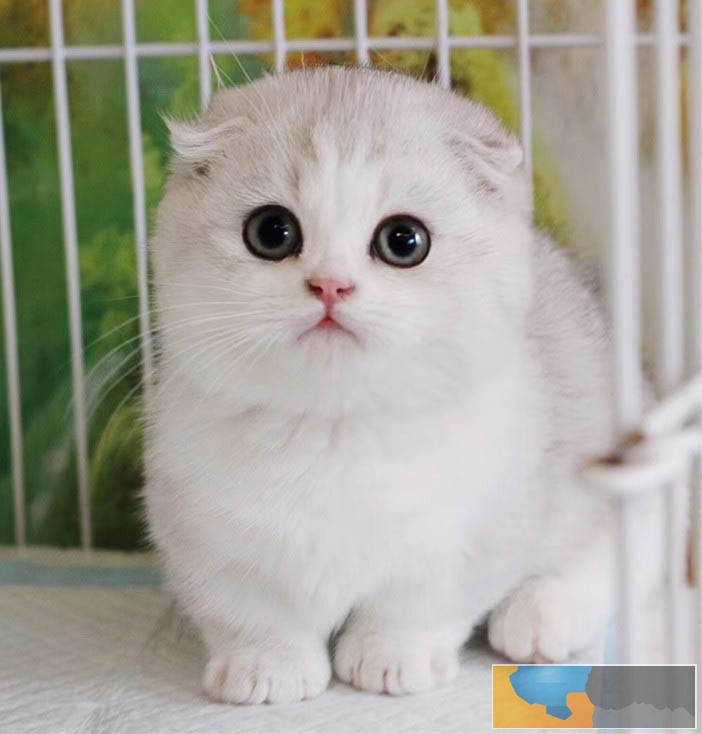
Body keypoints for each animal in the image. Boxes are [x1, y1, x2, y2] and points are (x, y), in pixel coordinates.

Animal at [145, 66, 660, 704]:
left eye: (404, 241)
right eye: (271, 232)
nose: (331, 286)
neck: (336, 433)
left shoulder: (468, 534)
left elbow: (414, 609)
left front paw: (391, 659)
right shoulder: (204, 533)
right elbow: (256, 613)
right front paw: (265, 668)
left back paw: (541, 615)